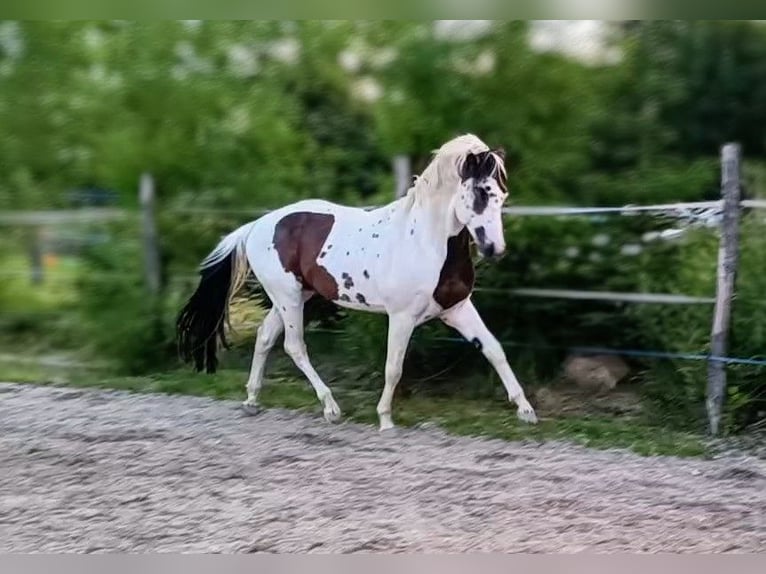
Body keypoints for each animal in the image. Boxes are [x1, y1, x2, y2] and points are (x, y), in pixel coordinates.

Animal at [177, 133, 538, 430]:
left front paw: (526, 411)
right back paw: (330, 408)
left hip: (294, 296)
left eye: (502, 195)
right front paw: (385, 419)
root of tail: (256, 226)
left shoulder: (457, 308)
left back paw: (252, 400)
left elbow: (494, 349)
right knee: (294, 346)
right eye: (480, 192)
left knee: (265, 337)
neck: (425, 240)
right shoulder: (402, 317)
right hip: (288, 298)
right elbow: (394, 367)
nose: (495, 249)